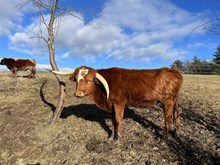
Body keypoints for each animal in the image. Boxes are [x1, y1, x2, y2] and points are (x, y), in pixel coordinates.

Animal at [52, 65, 183, 139]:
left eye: (89, 80)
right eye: (76, 80)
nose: (78, 94)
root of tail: (174, 70)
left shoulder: (119, 103)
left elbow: (118, 120)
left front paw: (119, 138)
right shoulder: (111, 104)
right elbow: (113, 121)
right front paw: (111, 137)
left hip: (168, 100)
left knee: (168, 117)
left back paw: (164, 138)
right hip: (175, 100)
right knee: (177, 114)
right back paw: (176, 134)